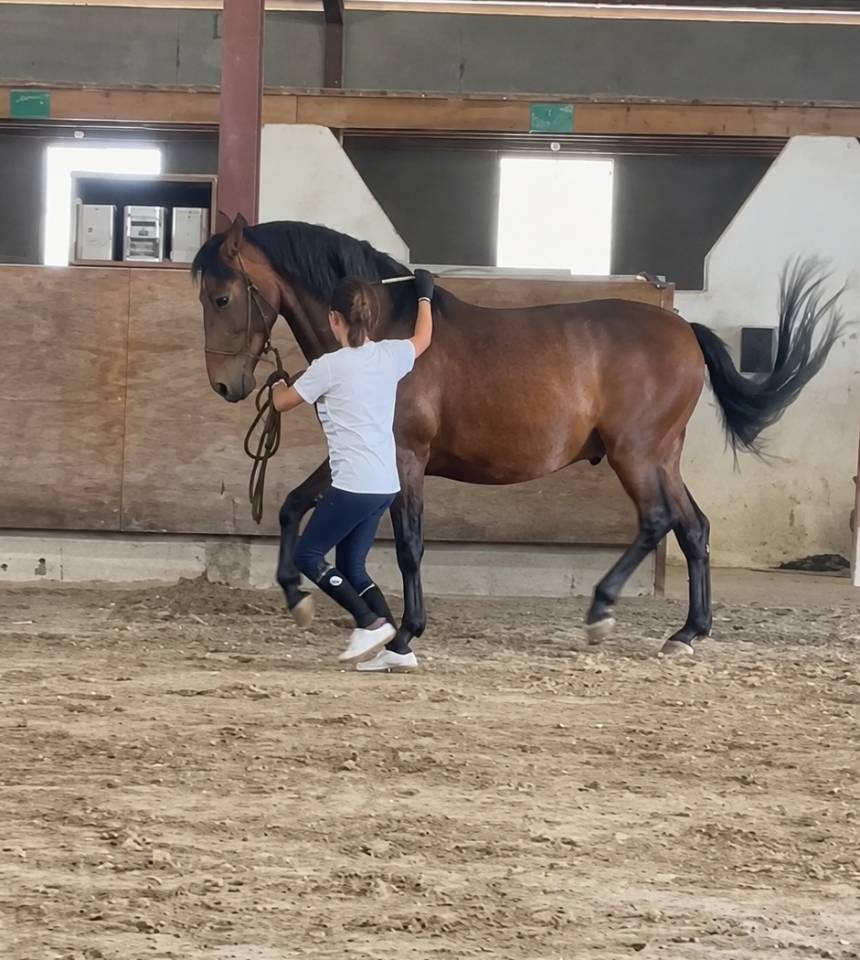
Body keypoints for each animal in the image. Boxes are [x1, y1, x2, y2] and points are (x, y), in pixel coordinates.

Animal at [193, 215, 843, 657]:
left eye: (221, 297)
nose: (225, 385)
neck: (381, 332)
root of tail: (684, 328)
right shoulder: (356, 453)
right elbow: (291, 506)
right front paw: (300, 597)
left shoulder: (404, 457)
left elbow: (408, 545)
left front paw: (405, 631)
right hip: (663, 456)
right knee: (695, 528)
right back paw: (687, 632)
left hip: (635, 454)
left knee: (658, 521)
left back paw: (602, 611)